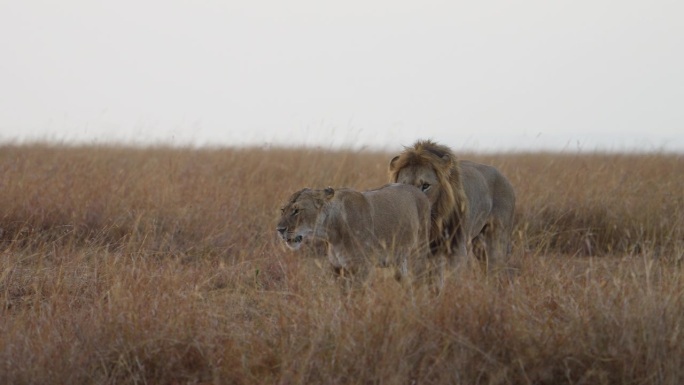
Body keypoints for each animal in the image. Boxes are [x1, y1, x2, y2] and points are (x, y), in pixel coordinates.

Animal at [276, 184, 428, 288]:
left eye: (296, 211)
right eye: (283, 210)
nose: (279, 229)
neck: (331, 233)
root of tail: (417, 189)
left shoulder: (361, 269)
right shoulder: (338, 269)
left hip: (418, 251)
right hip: (399, 261)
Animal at [388, 140, 516, 272]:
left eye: (425, 186)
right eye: (403, 185)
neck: (436, 220)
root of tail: (504, 177)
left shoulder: (457, 247)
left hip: (497, 238)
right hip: (479, 243)